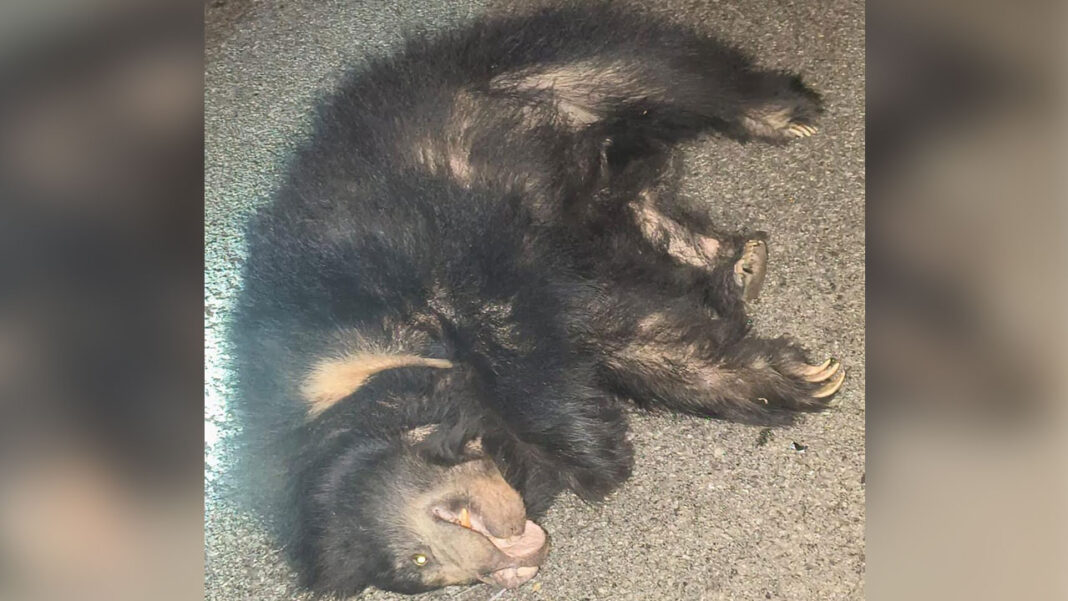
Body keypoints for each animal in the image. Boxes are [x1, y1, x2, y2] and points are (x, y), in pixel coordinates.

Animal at [229, 4, 841, 596]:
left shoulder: (427, 255)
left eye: (423, 551)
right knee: (638, 198)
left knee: (664, 73)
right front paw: (793, 377)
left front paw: (597, 453)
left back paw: (783, 113)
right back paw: (733, 261)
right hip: (593, 179)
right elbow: (605, 333)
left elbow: (532, 337)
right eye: (423, 575)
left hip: (535, 71)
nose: (504, 575)